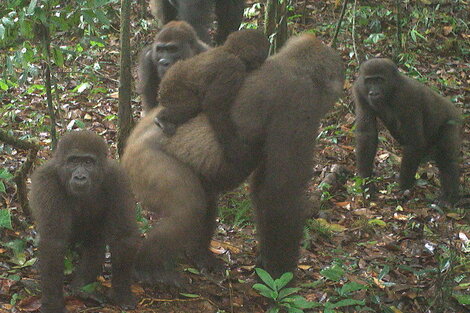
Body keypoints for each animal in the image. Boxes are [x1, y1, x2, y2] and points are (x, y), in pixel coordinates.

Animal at [29, 130, 139, 312]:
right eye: (73, 161)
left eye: (88, 162)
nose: (80, 177)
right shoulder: (46, 180)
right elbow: (53, 242)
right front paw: (52, 303)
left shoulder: (117, 179)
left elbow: (123, 236)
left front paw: (121, 293)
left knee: (96, 241)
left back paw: (82, 288)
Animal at [156, 28, 270, 163]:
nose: (260, 63)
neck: (230, 51)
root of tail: (162, 84)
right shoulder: (232, 68)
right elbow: (214, 106)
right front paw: (235, 150)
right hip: (171, 88)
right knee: (190, 105)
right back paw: (161, 119)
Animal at [354, 58, 460, 205]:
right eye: (369, 81)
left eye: (379, 80)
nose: (373, 93)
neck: (392, 88)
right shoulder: (360, 90)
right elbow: (367, 135)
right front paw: (367, 183)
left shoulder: (408, 96)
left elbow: (414, 142)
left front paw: (403, 188)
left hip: (452, 120)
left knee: (446, 158)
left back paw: (450, 198)